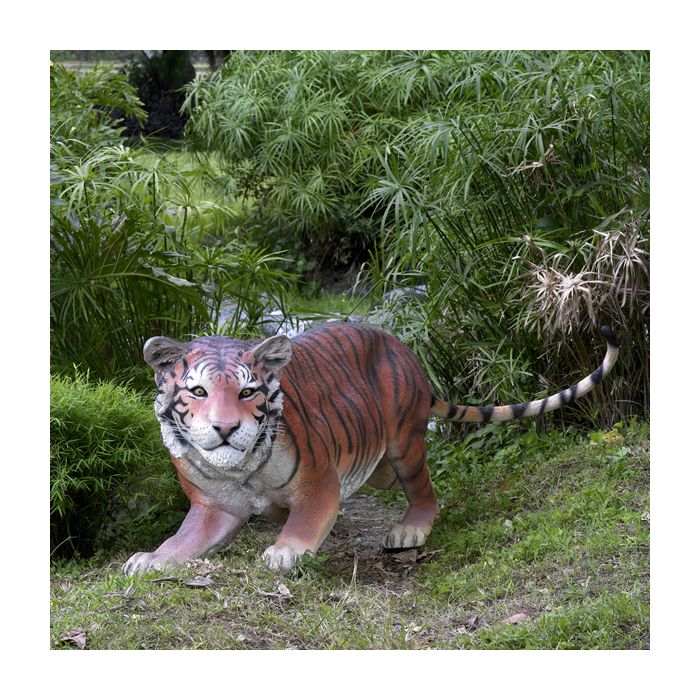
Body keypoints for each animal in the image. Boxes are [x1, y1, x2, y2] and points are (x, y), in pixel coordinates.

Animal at [123, 321, 619, 574]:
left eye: (247, 393)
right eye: (199, 392)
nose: (225, 428)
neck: (239, 470)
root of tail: (407, 353)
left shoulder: (318, 483)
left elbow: (304, 522)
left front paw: (285, 551)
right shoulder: (213, 507)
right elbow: (184, 539)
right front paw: (151, 559)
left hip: (404, 445)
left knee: (424, 492)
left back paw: (410, 530)